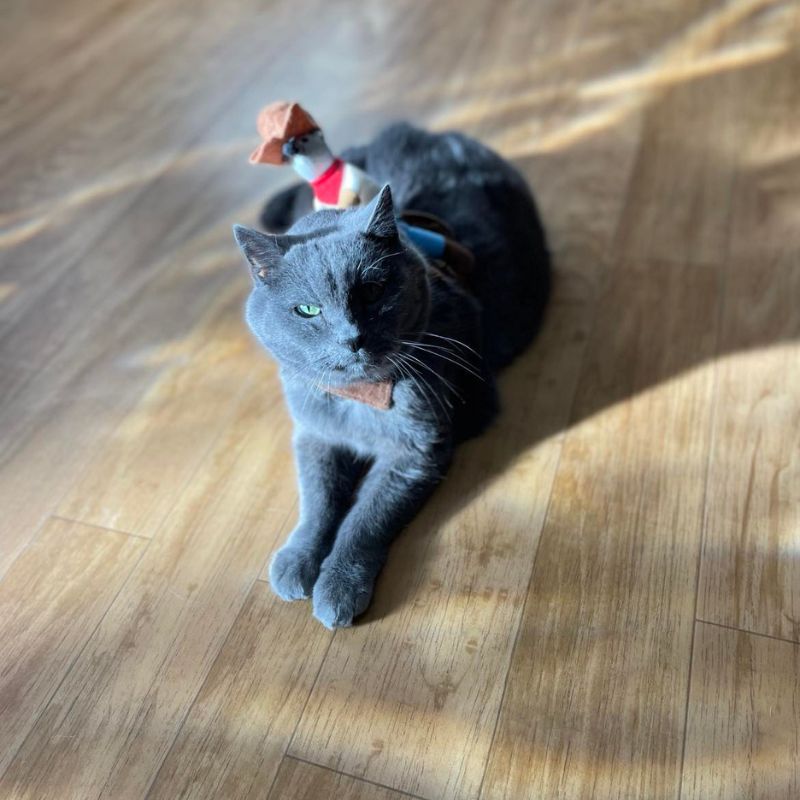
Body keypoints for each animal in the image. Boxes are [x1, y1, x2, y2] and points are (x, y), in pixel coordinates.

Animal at [228, 125, 548, 628]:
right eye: (308, 310)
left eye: (373, 291)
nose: (352, 337)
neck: (358, 403)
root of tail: (425, 132)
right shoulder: (314, 435)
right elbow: (317, 501)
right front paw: (297, 559)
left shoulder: (415, 452)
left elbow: (365, 518)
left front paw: (338, 586)